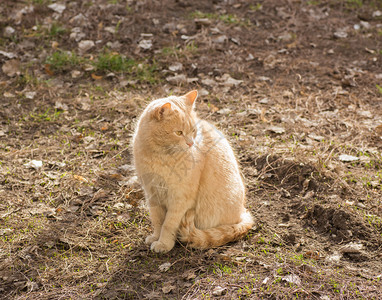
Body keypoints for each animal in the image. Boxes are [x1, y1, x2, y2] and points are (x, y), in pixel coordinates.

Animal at [131, 89, 254, 253]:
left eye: (193, 131)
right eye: (178, 133)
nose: (191, 143)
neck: (159, 156)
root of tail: (242, 214)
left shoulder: (180, 198)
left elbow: (168, 224)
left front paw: (164, 243)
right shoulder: (152, 193)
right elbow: (157, 220)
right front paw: (156, 237)